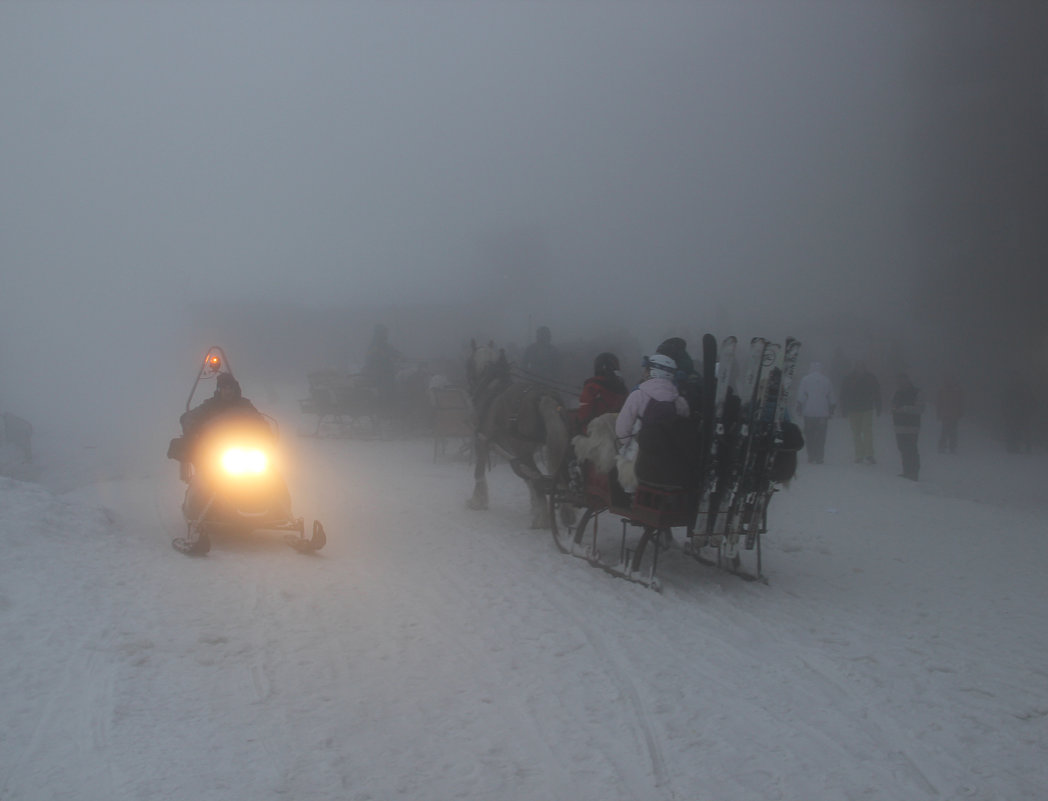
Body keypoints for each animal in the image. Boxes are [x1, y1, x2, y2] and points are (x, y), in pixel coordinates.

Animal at [465, 341, 570, 528]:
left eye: (468, 364)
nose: (469, 389)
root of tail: (544, 396)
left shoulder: (482, 440)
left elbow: (479, 471)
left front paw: (477, 501)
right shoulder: (512, 451)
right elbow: (525, 477)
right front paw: (534, 507)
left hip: (524, 450)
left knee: (539, 479)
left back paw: (542, 521)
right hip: (552, 447)